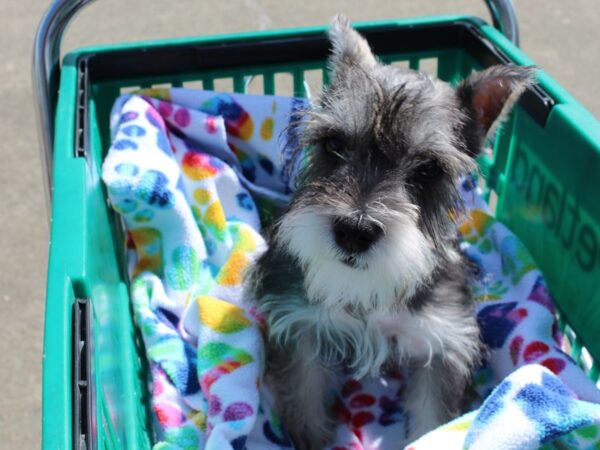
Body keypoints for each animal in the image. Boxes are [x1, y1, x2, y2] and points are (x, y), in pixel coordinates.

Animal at [248, 14, 536, 450]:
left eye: (428, 168)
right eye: (333, 144)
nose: (354, 232)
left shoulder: (443, 344)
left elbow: (434, 420)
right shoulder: (299, 327)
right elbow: (304, 402)